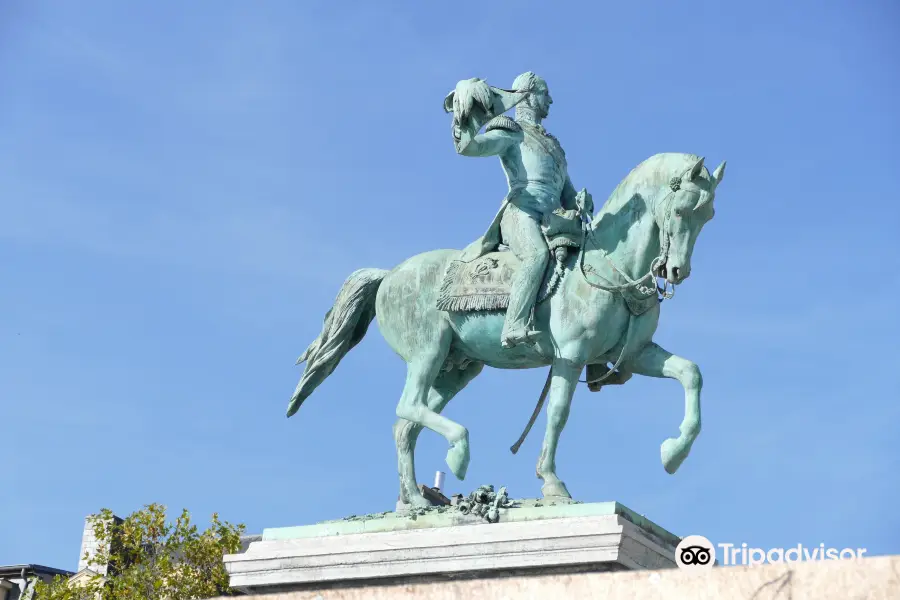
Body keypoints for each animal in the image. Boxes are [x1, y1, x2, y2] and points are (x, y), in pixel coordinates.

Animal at [288, 154, 724, 506]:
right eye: (682, 210)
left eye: (708, 216)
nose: (676, 271)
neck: (610, 265)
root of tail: (389, 274)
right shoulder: (570, 356)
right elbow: (558, 414)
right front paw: (551, 482)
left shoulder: (634, 354)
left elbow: (691, 373)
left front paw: (673, 454)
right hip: (428, 351)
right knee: (407, 407)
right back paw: (457, 455)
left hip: (458, 369)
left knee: (405, 426)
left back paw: (412, 501)